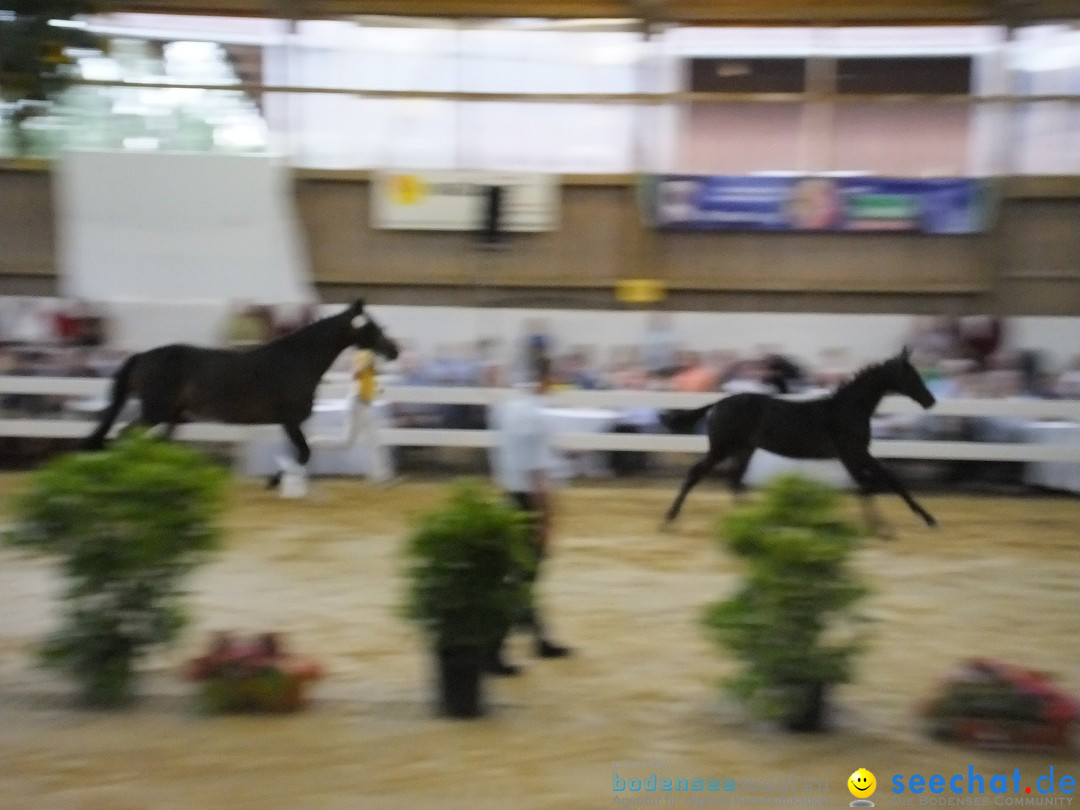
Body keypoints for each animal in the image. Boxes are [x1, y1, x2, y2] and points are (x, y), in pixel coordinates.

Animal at [656, 349, 937, 540]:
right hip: (722, 448)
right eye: (912, 376)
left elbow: (880, 483)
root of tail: (718, 403)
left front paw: (918, 520)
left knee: (735, 480)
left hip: (744, 449)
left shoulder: (856, 455)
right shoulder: (853, 453)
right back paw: (669, 519)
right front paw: (891, 528)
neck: (846, 409)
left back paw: (753, 522)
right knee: (697, 474)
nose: (930, 401)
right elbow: (875, 484)